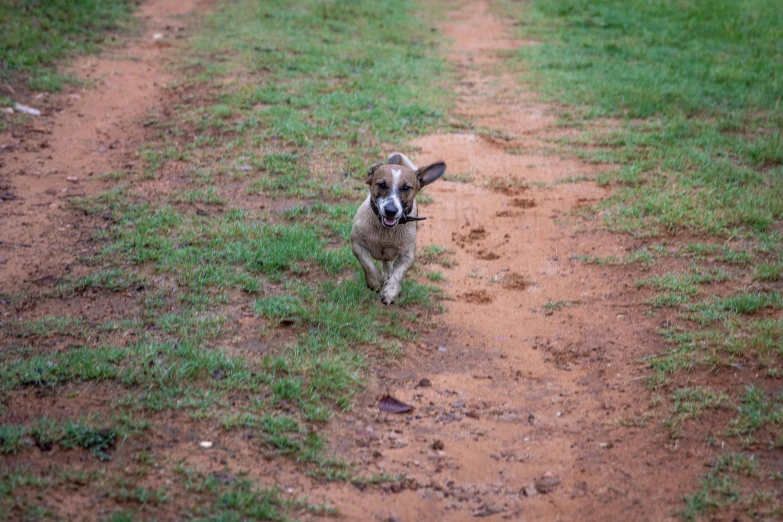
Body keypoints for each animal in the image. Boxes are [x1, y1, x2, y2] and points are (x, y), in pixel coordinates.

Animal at [350, 152, 444, 302]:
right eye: (381, 184)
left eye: (406, 188)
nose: (390, 210)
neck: (385, 232)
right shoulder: (357, 244)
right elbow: (367, 263)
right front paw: (374, 281)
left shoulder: (407, 254)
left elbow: (398, 273)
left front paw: (390, 291)